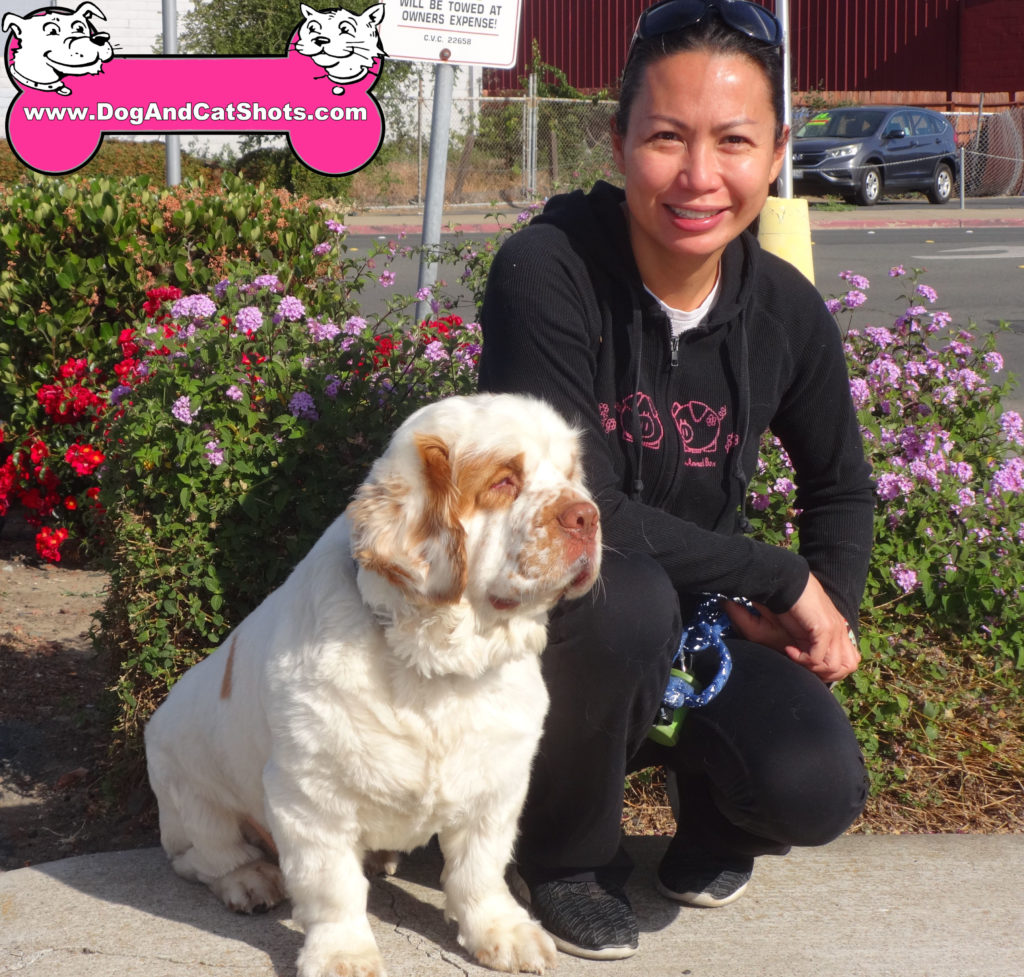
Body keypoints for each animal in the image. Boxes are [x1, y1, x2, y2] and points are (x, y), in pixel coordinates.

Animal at [148, 393, 602, 970]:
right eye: (503, 480)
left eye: (570, 476)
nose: (587, 515)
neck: (434, 662)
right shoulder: (310, 795)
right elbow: (331, 887)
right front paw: (342, 954)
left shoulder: (496, 779)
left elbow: (480, 868)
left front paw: (503, 931)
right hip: (189, 792)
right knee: (203, 856)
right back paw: (248, 880)